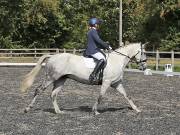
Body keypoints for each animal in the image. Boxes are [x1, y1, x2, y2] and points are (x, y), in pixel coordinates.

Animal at [20, 43, 148, 115]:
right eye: (143, 53)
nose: (144, 66)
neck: (117, 60)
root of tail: (52, 56)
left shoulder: (116, 83)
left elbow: (127, 96)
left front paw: (136, 109)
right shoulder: (106, 82)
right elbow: (100, 96)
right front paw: (95, 111)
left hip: (61, 80)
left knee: (53, 94)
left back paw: (58, 111)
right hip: (51, 78)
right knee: (38, 90)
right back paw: (27, 109)